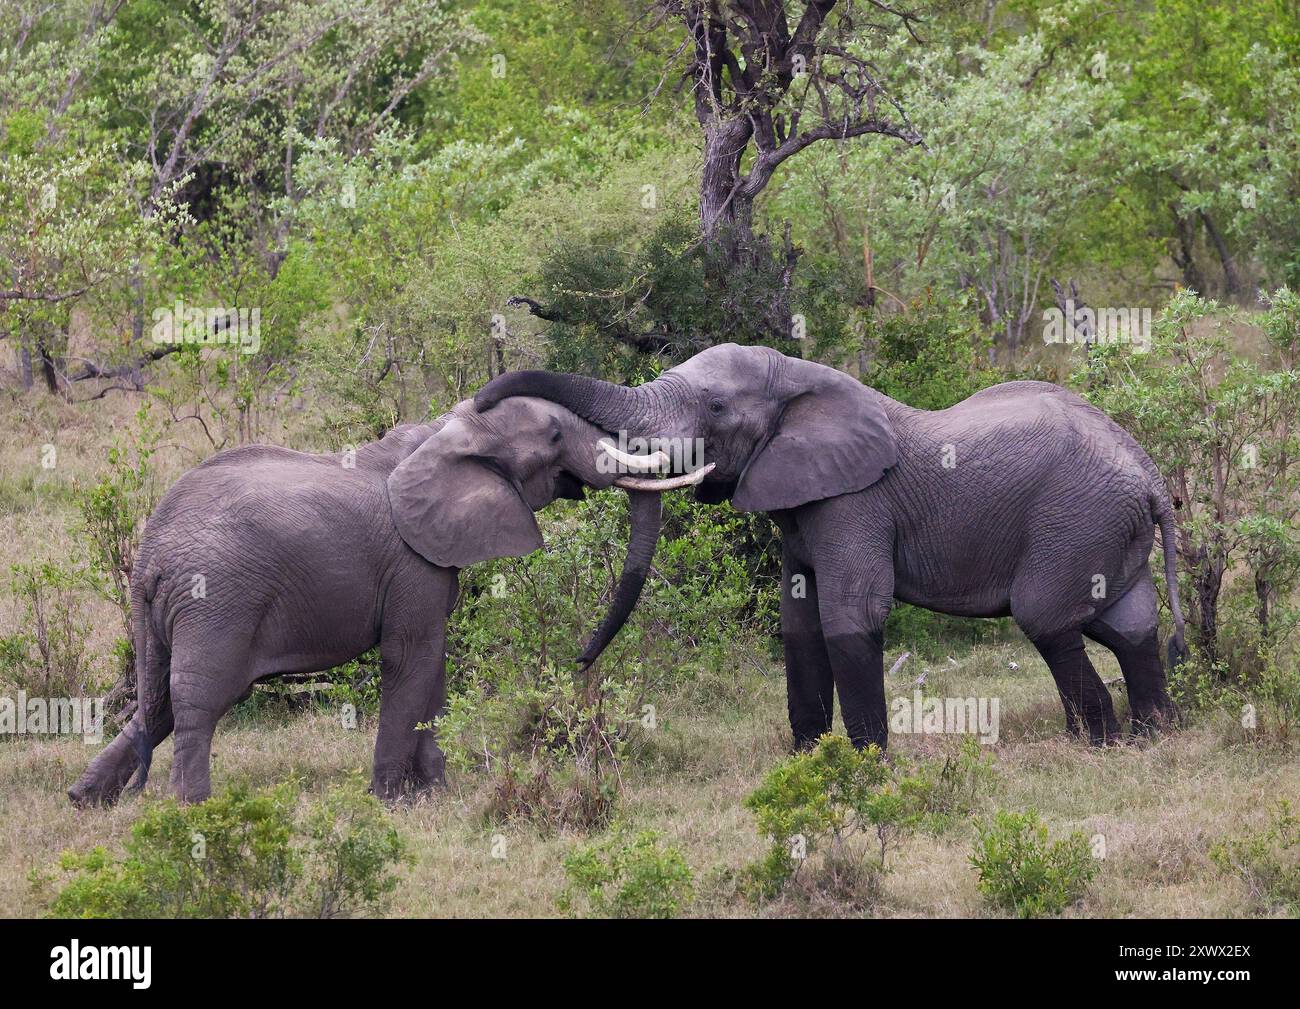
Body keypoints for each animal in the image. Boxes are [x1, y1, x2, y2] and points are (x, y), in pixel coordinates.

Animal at [68, 395, 712, 806]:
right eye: (555, 437)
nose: (580, 660)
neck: (446, 427)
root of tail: (149, 555)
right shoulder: (411, 562)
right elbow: (411, 659)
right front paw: (390, 802)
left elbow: (434, 666)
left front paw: (434, 794)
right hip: (217, 600)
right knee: (200, 699)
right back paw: (192, 809)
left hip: (170, 612)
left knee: (156, 702)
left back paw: (85, 798)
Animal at [475, 345, 1190, 748]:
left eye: (715, 408)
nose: (578, 663)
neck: (803, 380)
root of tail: (1152, 476)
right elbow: (799, 625)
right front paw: (810, 760)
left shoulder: (856, 503)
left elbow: (850, 617)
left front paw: (869, 765)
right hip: (1104, 525)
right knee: (1128, 626)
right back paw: (1155, 736)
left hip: (1076, 520)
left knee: (1048, 618)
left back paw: (1101, 744)